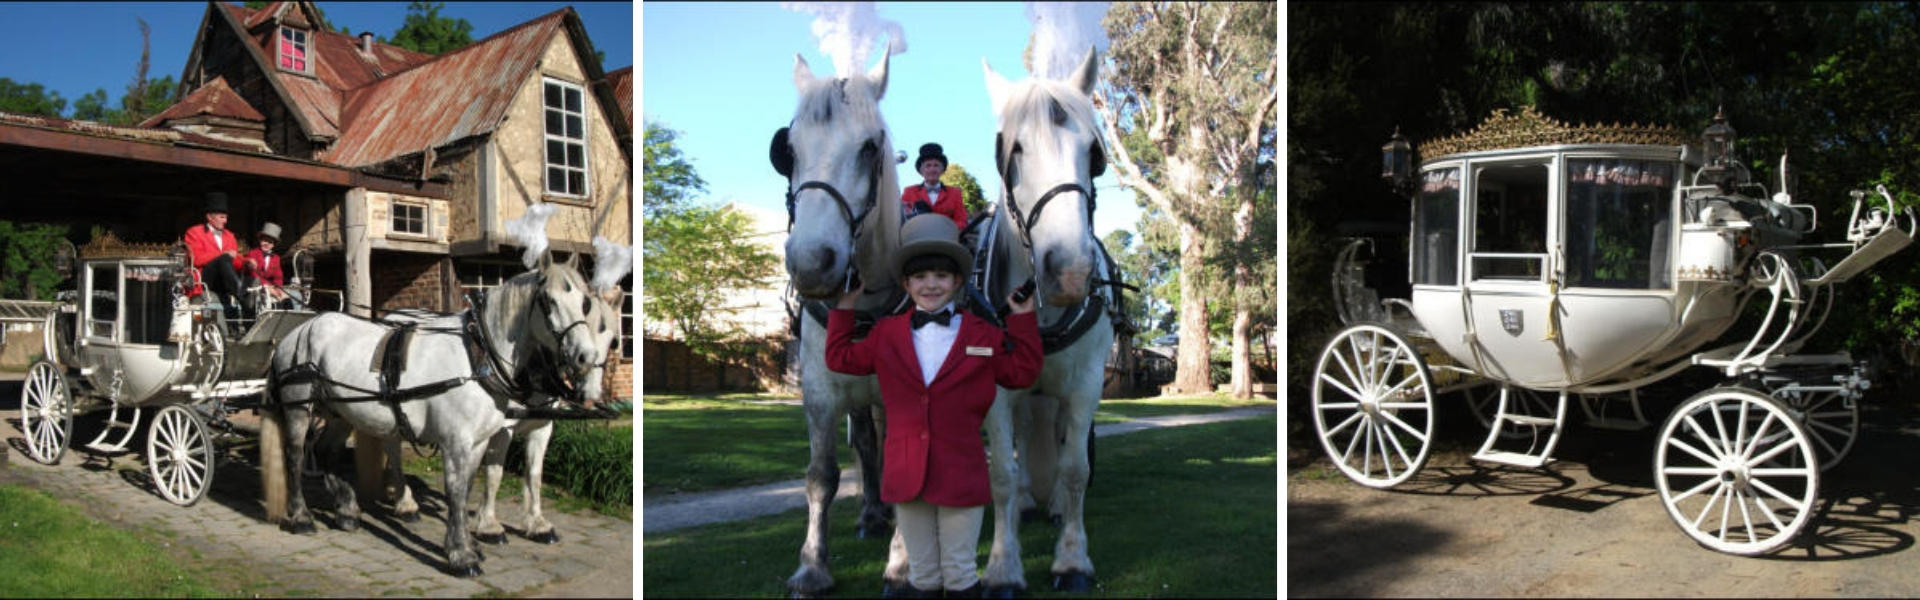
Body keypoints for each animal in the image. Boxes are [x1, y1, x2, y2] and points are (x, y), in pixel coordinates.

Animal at [258, 258, 607, 577]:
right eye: (549, 301)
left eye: (585, 302)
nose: (585, 357)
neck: (477, 356)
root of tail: (298, 332)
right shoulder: (456, 441)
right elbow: (455, 492)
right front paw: (460, 555)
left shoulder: (479, 441)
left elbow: (469, 487)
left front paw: (471, 543)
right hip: (299, 406)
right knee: (294, 455)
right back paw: (301, 516)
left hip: (341, 411)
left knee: (326, 450)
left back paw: (346, 511)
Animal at [771, 46, 911, 596]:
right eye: (788, 151)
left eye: (870, 148)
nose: (812, 261)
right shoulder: (820, 388)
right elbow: (821, 475)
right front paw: (812, 564)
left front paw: (902, 565)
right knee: (868, 444)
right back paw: (873, 514)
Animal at [977, 49, 1119, 595]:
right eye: (1011, 151)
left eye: (1094, 153)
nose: (1071, 271)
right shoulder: (996, 389)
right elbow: (1000, 473)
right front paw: (1002, 566)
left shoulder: (1086, 384)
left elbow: (1076, 468)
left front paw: (1072, 560)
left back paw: (1053, 503)